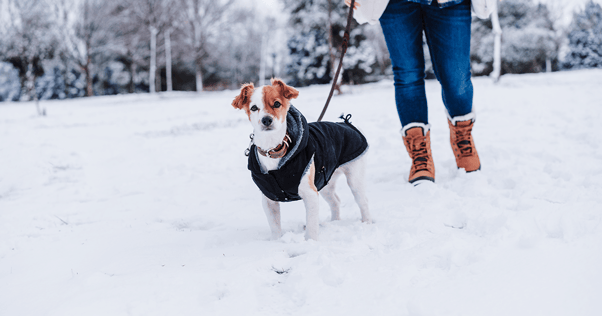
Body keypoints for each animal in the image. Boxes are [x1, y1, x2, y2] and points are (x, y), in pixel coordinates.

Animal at [231, 78, 368, 239]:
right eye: (253, 108)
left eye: (276, 104)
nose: (266, 120)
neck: (274, 149)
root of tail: (347, 124)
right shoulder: (269, 199)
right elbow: (275, 227)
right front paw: (277, 241)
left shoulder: (310, 194)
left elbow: (312, 227)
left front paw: (310, 242)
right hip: (325, 182)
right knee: (335, 201)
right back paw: (335, 222)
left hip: (354, 178)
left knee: (362, 201)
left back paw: (367, 223)